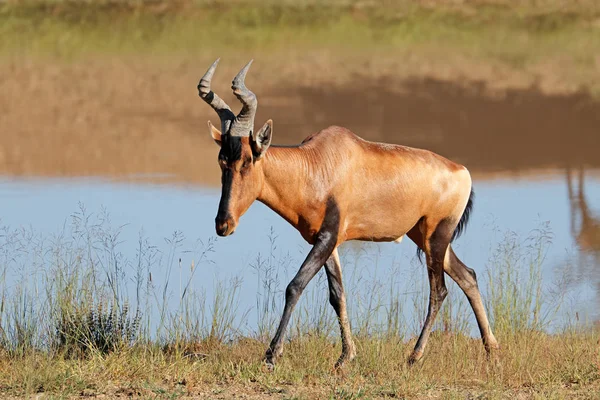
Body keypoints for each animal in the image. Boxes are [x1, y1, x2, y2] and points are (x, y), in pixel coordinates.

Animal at [199, 58, 500, 368]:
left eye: (247, 160)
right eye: (222, 160)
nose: (223, 224)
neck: (316, 163)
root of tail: (462, 171)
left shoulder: (328, 237)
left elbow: (295, 286)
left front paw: (272, 354)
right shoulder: (326, 242)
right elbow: (338, 295)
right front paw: (345, 357)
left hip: (437, 237)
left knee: (439, 290)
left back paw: (414, 356)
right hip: (425, 238)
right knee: (468, 275)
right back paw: (491, 349)